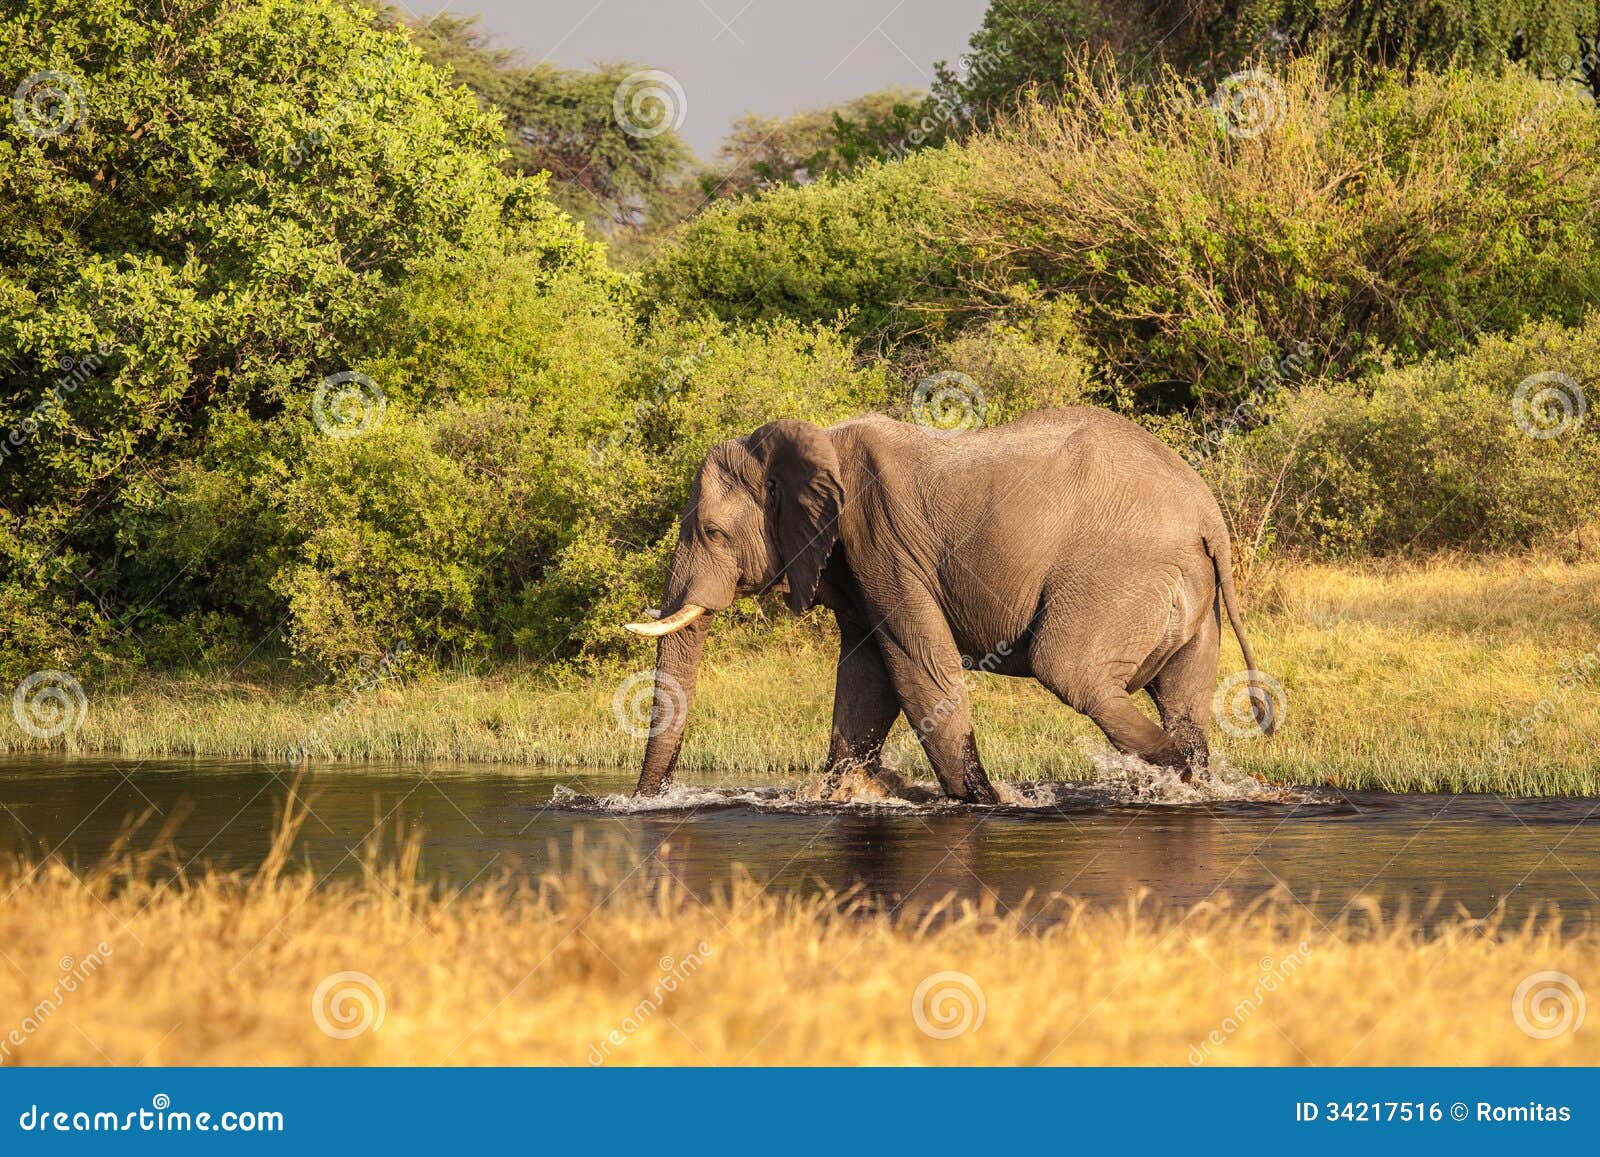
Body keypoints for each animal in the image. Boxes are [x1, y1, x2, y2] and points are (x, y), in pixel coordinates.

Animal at [624, 407, 1275, 801]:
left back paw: (1172, 770)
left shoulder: (881, 538)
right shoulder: (852, 560)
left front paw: (983, 802)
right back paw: (1194, 779)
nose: (644, 799)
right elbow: (864, 679)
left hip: (1121, 575)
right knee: (1184, 697)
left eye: (711, 533)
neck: (819, 442)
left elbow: (917, 669)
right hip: (1193, 596)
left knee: (1068, 669)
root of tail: (1208, 515)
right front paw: (844, 793)